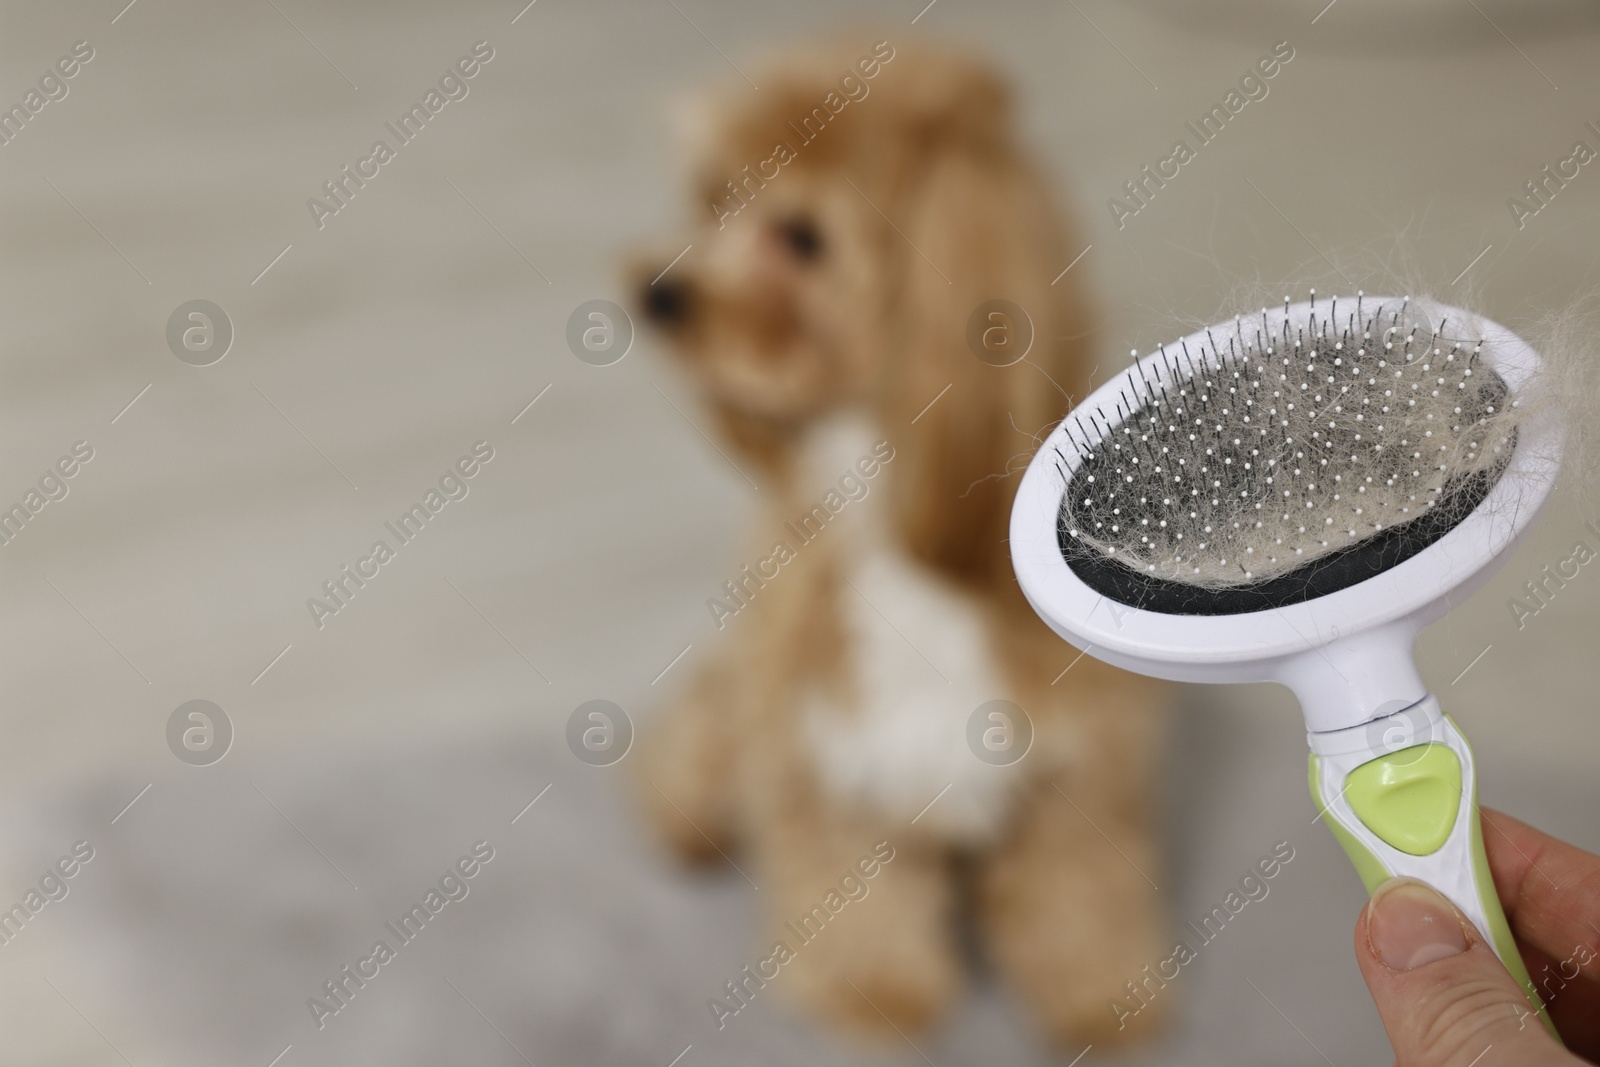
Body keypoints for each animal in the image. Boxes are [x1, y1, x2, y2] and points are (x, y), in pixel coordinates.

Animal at [630, 35, 1171, 1049]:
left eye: (803, 236)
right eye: (715, 197)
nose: (659, 293)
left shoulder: (1085, 764)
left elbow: (1077, 889)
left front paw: (1102, 996)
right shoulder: (817, 747)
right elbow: (850, 886)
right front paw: (872, 989)